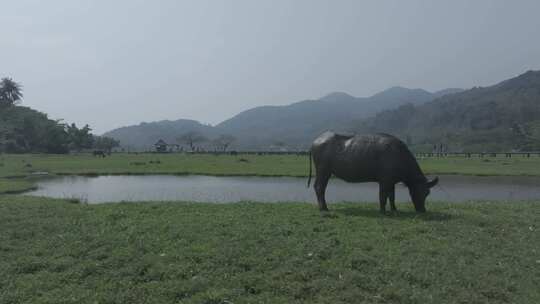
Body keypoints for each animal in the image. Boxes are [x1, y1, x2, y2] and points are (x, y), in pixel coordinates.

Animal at [308, 132, 438, 214]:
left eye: (427, 193)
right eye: (419, 191)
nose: (422, 210)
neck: (400, 156)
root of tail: (316, 141)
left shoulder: (391, 182)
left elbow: (392, 196)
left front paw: (394, 209)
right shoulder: (384, 182)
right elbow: (383, 196)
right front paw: (382, 211)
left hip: (325, 172)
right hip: (323, 171)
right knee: (319, 187)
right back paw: (324, 208)